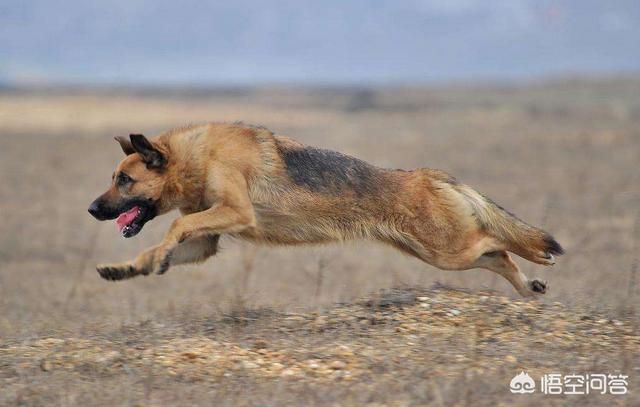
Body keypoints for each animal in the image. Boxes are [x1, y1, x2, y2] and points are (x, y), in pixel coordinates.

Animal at [87, 122, 564, 298]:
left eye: (124, 180)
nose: (92, 209)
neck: (197, 157)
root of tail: (429, 175)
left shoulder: (237, 212)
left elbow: (178, 225)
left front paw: (158, 256)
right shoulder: (206, 241)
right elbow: (160, 245)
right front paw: (132, 267)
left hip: (449, 250)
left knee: (499, 241)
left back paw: (538, 263)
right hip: (437, 253)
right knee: (498, 255)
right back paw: (529, 290)